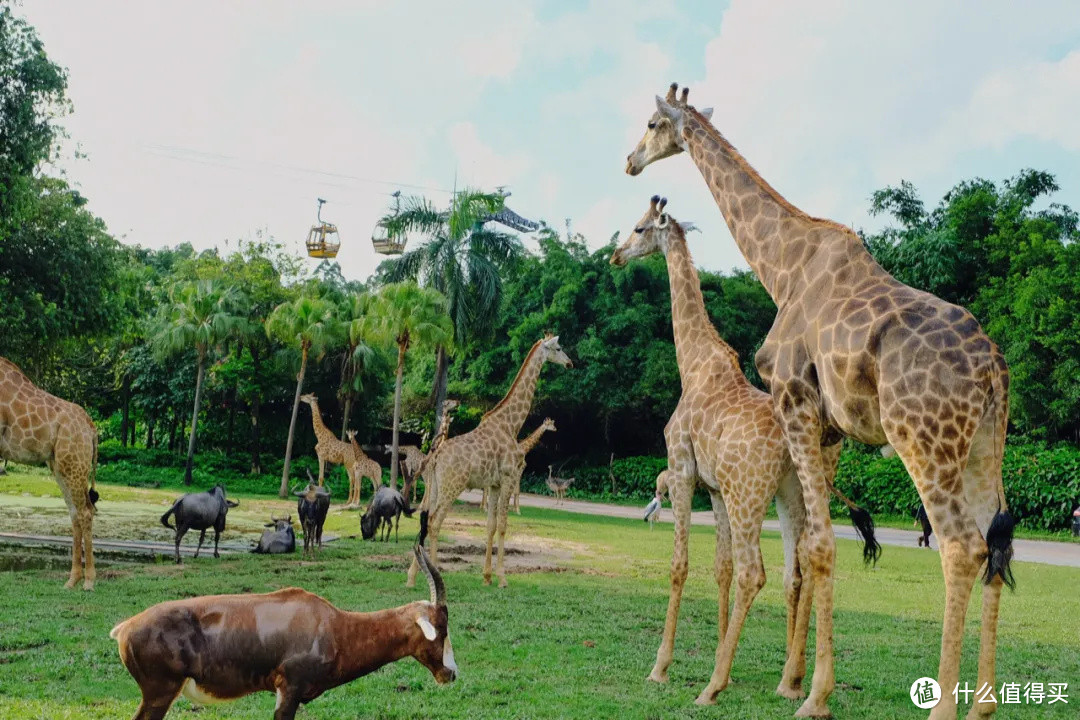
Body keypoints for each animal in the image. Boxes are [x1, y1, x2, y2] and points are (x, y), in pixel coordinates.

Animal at [0, 358, 100, 587]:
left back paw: (89, 582)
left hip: (74, 463)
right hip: (59, 465)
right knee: (75, 513)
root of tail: (91, 429)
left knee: (85, 512)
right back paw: (72, 580)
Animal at [406, 334, 574, 587]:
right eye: (559, 347)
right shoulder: (508, 478)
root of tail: (435, 457)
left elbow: (490, 526)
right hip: (452, 487)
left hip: (435, 487)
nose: (570, 363)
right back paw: (435, 574)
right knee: (435, 522)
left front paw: (486, 577)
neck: (511, 425)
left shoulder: (494, 485)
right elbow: (503, 526)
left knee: (425, 521)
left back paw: (412, 576)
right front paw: (502, 578)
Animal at [626, 84, 1010, 720]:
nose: (631, 161)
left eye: (654, 123)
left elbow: (821, 548)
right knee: (998, 545)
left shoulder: (795, 401)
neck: (783, 265)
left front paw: (813, 695)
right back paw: (982, 704)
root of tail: (994, 369)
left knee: (961, 547)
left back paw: (944, 708)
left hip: (924, 441)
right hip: (983, 447)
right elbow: (810, 549)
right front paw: (799, 682)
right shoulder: (829, 431)